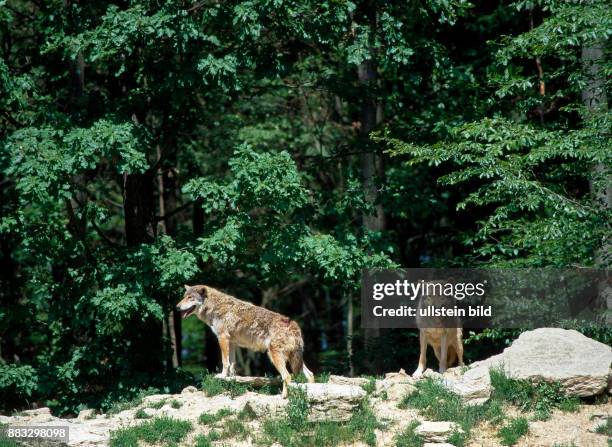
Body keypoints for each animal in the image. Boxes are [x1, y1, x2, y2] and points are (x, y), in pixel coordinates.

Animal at [175, 286, 314, 398]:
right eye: (184, 297)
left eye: (190, 297)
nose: (177, 307)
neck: (214, 306)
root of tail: (294, 325)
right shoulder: (232, 343)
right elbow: (232, 364)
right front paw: (231, 378)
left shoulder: (222, 338)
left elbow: (225, 362)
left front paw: (222, 376)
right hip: (294, 359)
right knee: (310, 374)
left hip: (274, 356)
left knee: (287, 377)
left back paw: (284, 397)